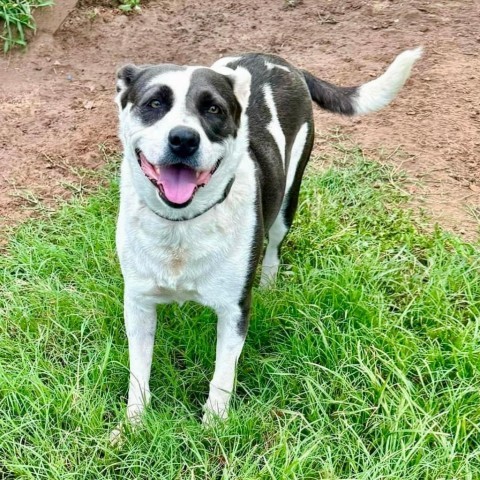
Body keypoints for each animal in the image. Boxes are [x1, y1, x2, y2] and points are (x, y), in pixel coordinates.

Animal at [112, 47, 420, 426]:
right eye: (154, 102)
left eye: (213, 109)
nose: (184, 139)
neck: (181, 224)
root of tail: (279, 61)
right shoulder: (138, 303)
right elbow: (139, 370)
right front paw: (133, 424)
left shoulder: (234, 310)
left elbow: (222, 376)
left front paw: (214, 425)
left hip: (289, 198)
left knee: (274, 245)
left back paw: (270, 282)